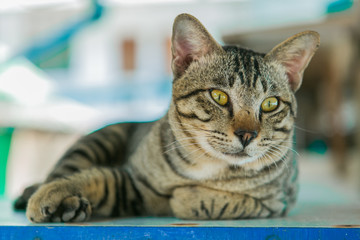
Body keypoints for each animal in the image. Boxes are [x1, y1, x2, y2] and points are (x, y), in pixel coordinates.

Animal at [14, 13, 320, 223]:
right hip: (98, 140)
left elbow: (218, 202)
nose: (248, 135)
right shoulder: (135, 180)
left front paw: (187, 196)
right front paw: (54, 192)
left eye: (270, 104)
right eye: (219, 96)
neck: (210, 167)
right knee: (63, 169)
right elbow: (99, 177)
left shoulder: (277, 202)